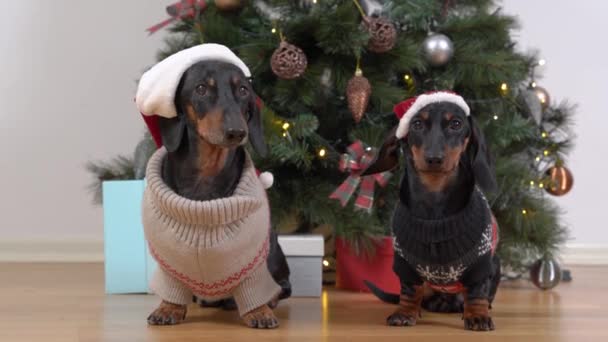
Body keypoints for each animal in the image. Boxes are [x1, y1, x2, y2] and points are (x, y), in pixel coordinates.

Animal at [146, 60, 290, 328]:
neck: (207, 174)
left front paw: (260, 311)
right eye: (201, 88)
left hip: (274, 249)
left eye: (243, 89)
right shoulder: (169, 255)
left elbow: (255, 284)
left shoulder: (253, 255)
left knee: (284, 287)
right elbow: (172, 283)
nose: (237, 132)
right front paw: (168, 307)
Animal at [364, 99, 502, 332]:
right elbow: (410, 290)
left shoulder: (481, 264)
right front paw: (405, 312)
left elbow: (477, 292)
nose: (434, 159)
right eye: (417, 124)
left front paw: (477, 315)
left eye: (456, 124)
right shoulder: (405, 263)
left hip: (496, 263)